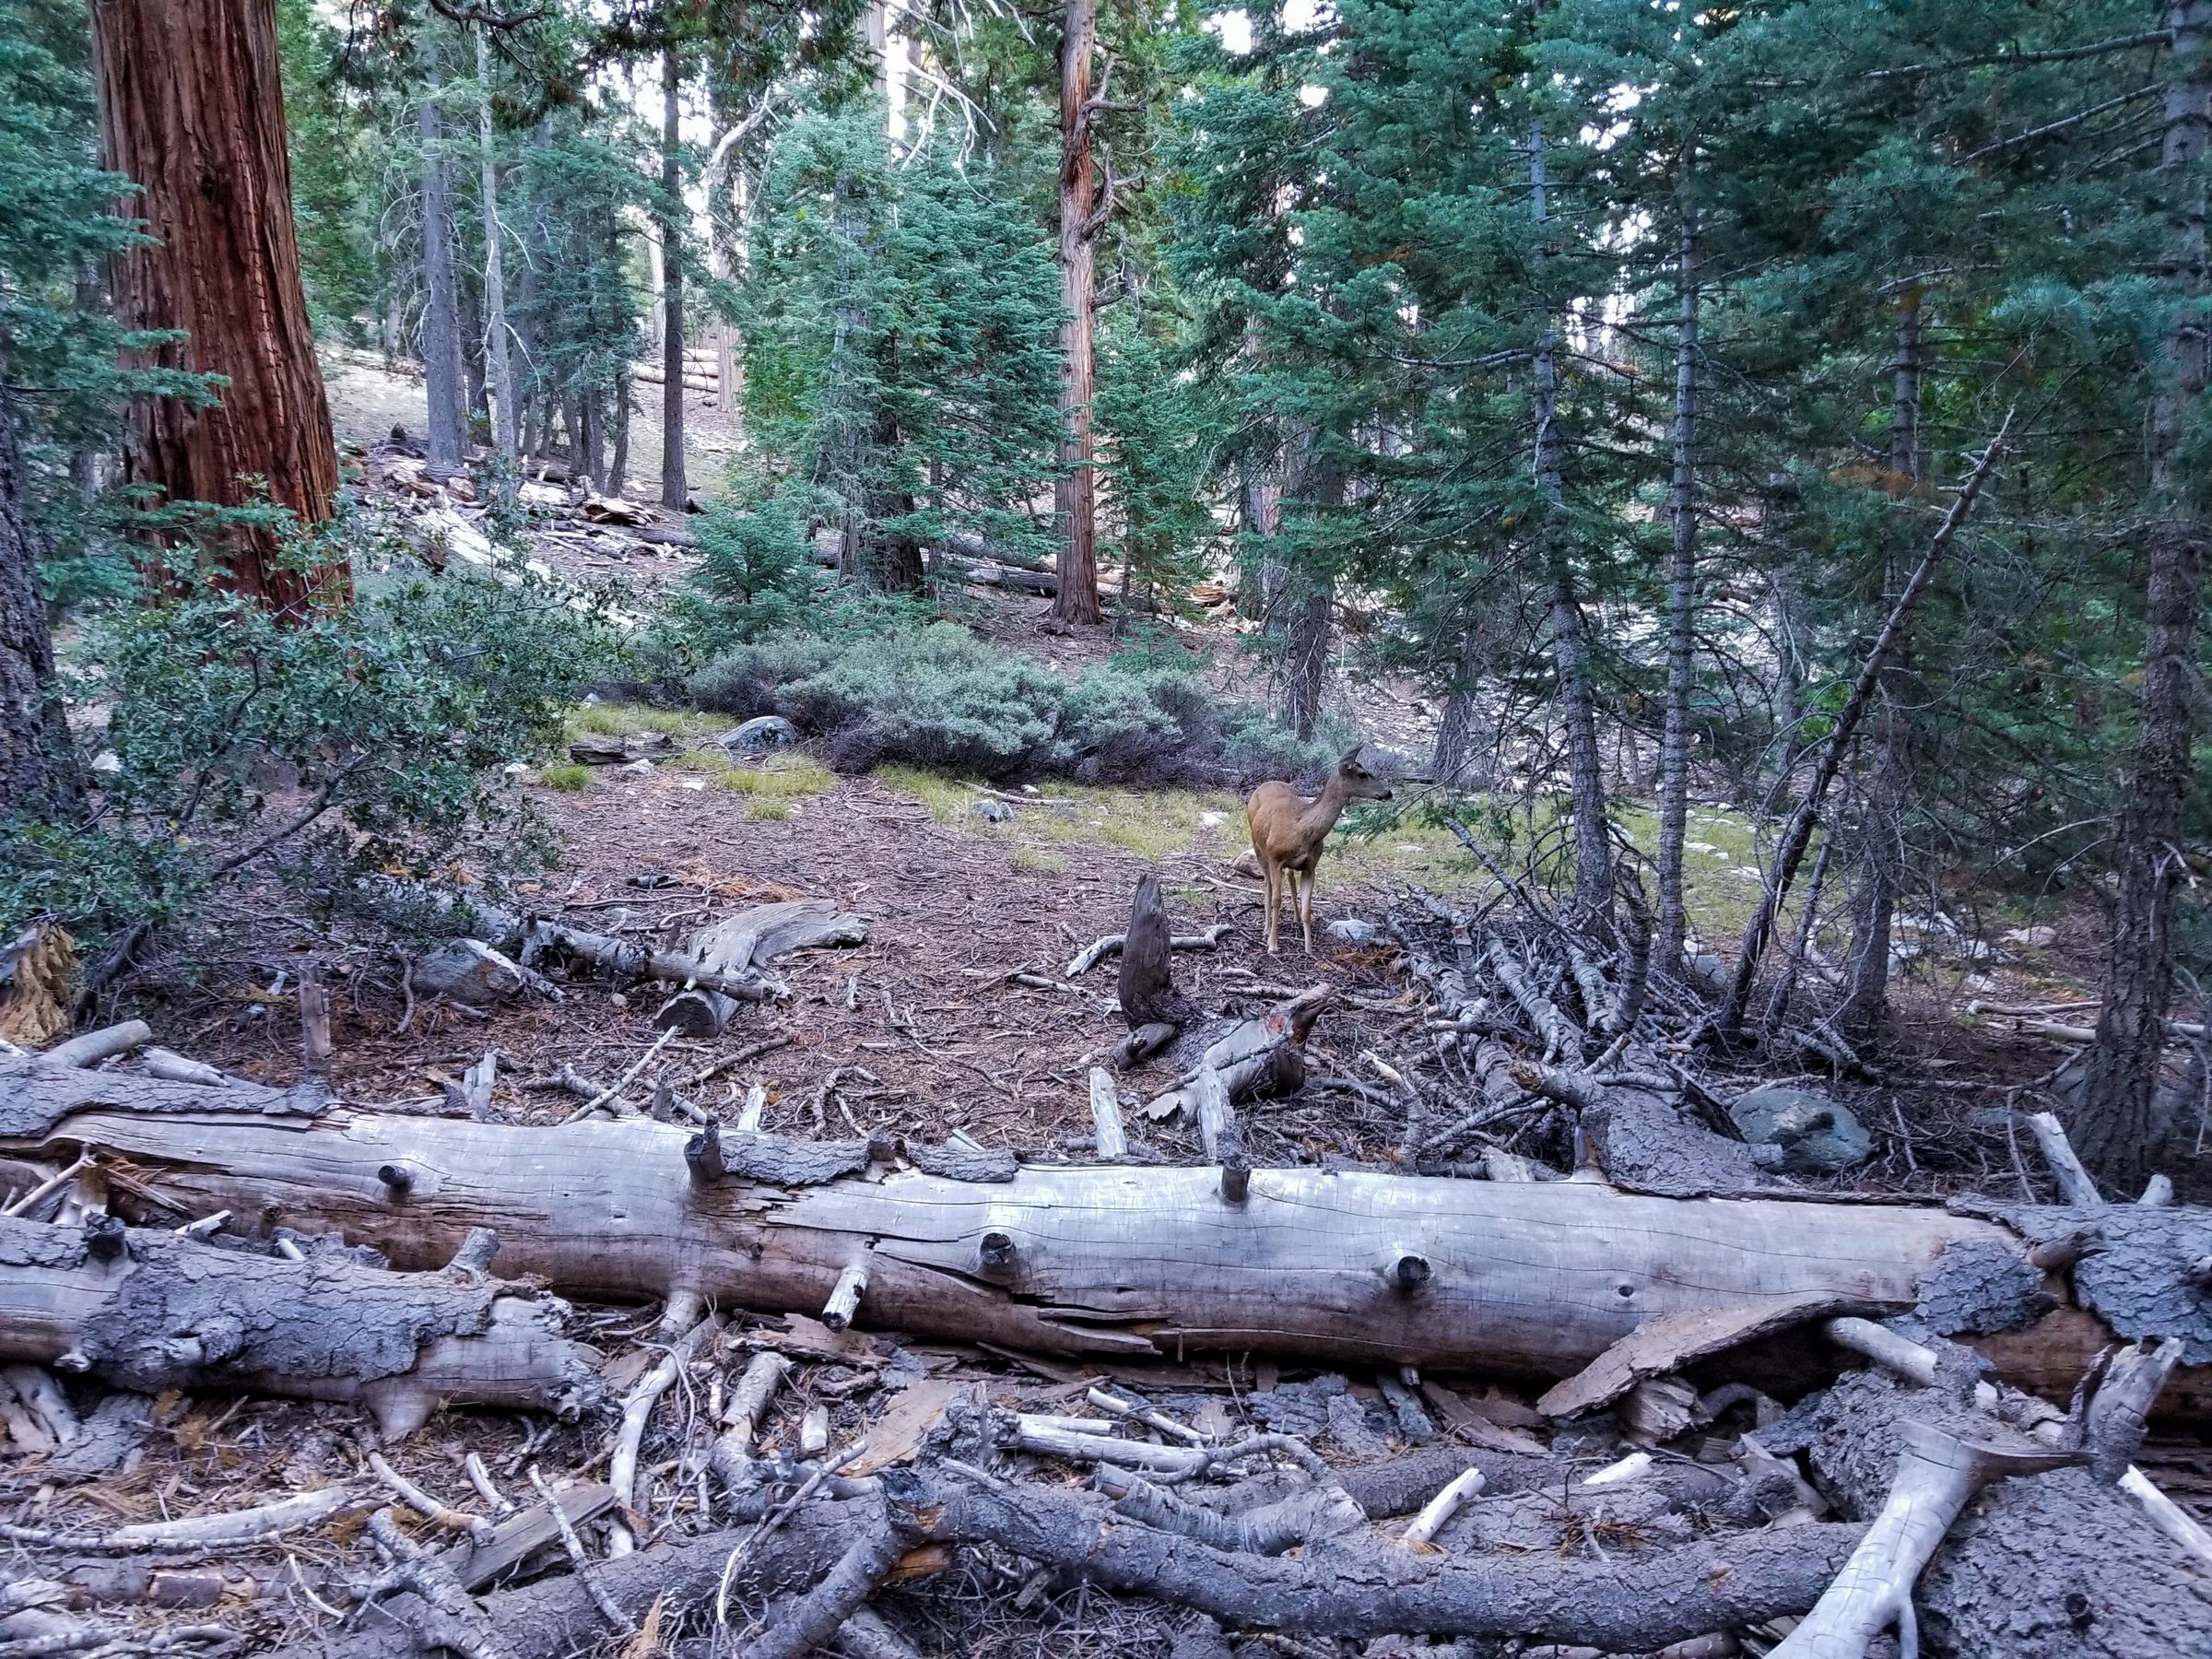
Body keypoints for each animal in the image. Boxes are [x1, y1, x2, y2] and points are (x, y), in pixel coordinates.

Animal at [1239, 747, 1389, 955]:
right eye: (1362, 774)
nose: (1388, 792)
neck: (1301, 830)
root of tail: (1263, 784)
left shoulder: (1310, 866)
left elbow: (1307, 909)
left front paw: (1308, 948)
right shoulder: (1275, 858)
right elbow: (1277, 899)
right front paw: (1273, 945)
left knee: (1290, 877)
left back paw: (1293, 918)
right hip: (1258, 846)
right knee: (1267, 884)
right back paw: (1266, 928)